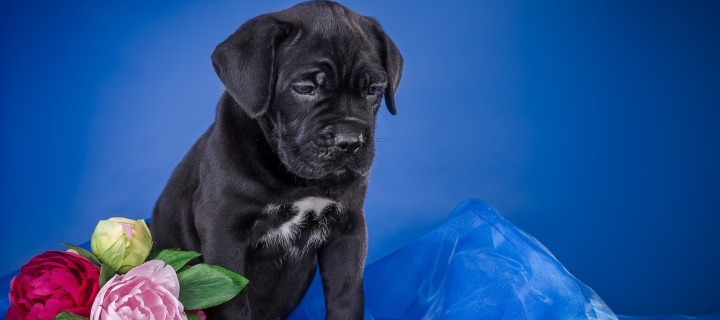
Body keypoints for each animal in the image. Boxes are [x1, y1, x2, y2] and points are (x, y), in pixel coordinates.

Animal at [151, 1, 402, 318]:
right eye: (305, 88)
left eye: (373, 90)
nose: (349, 142)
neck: (299, 180)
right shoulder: (224, 234)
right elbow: (233, 303)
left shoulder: (348, 227)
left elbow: (347, 296)